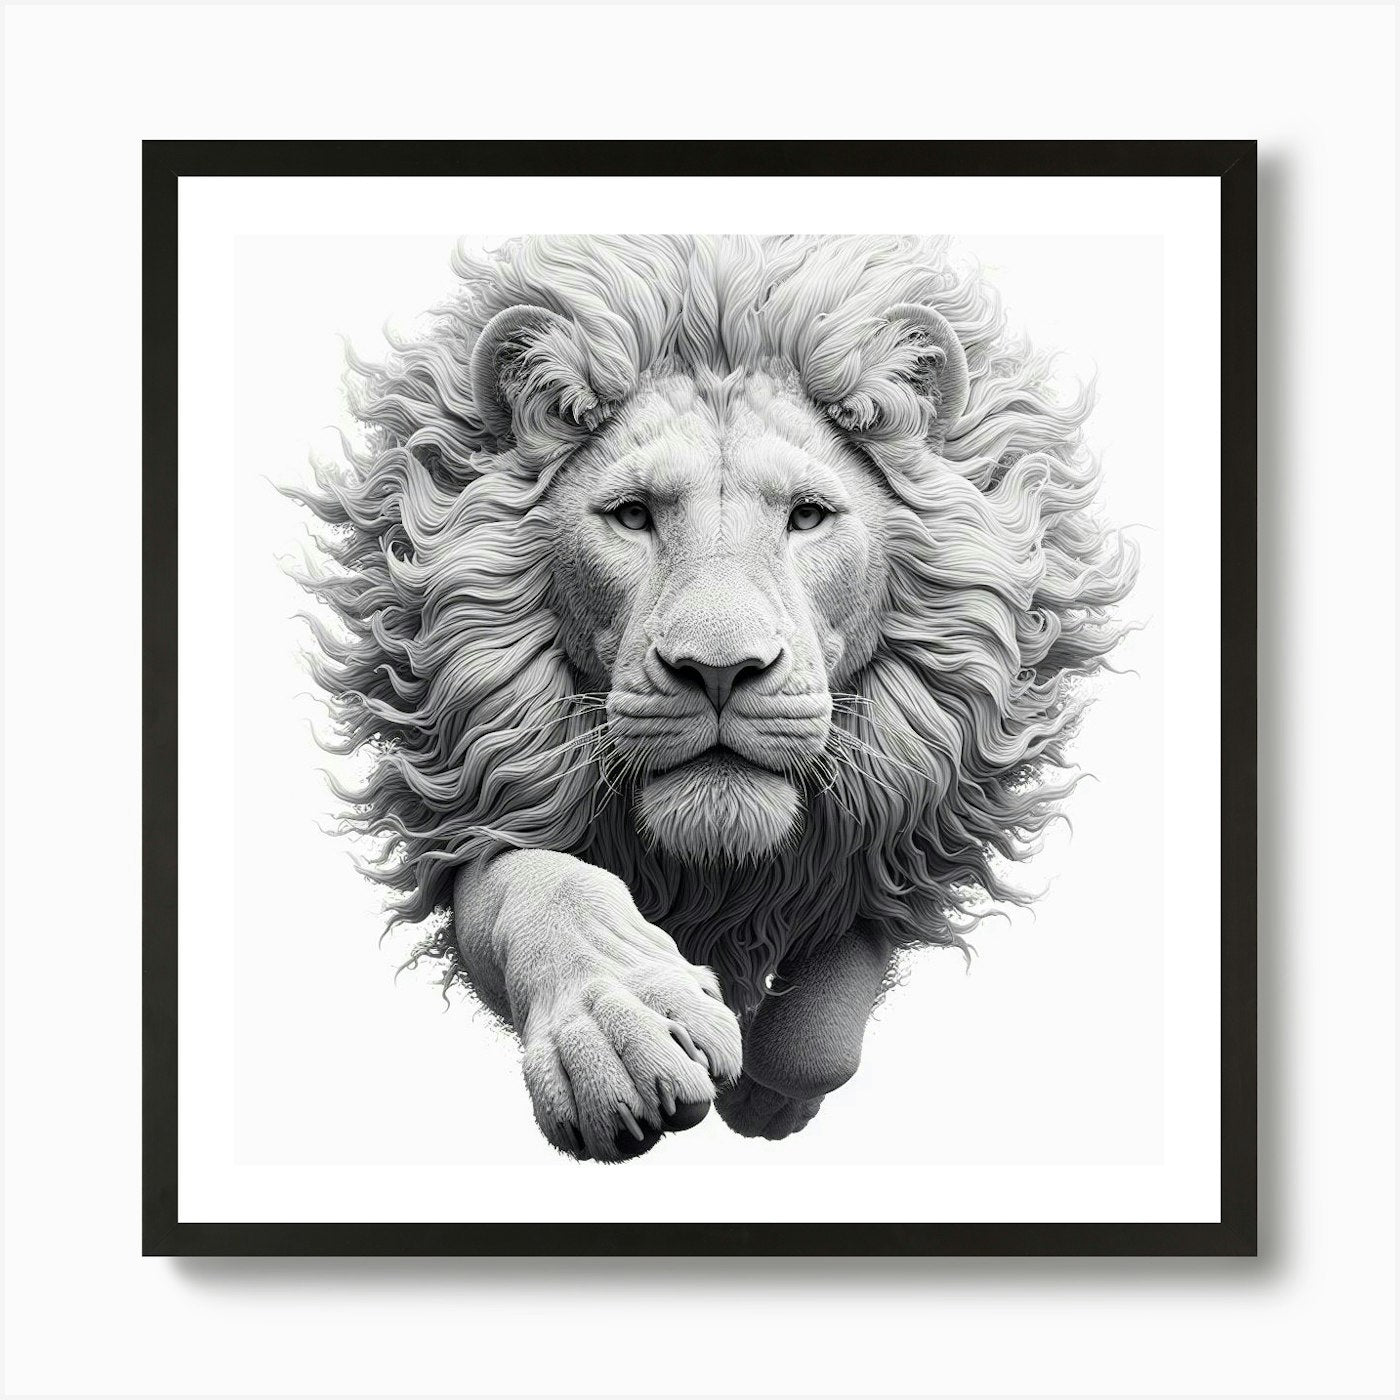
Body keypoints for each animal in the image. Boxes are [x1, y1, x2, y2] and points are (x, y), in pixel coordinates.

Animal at [289, 234, 1138, 1161]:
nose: (721, 671)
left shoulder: (914, 810)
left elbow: (822, 1031)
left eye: (808, 516)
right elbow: (545, 890)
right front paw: (620, 1039)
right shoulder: (473, 786)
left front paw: (765, 1098)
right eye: (631, 515)